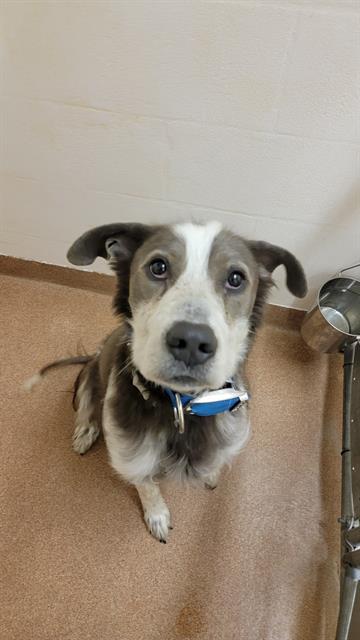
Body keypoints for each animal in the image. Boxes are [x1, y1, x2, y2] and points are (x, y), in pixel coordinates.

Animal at [27, 222, 306, 544]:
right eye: (158, 267)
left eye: (236, 278)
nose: (192, 341)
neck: (183, 408)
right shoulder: (132, 456)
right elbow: (147, 486)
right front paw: (157, 515)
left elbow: (215, 461)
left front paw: (210, 474)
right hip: (92, 372)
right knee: (87, 405)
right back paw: (85, 431)